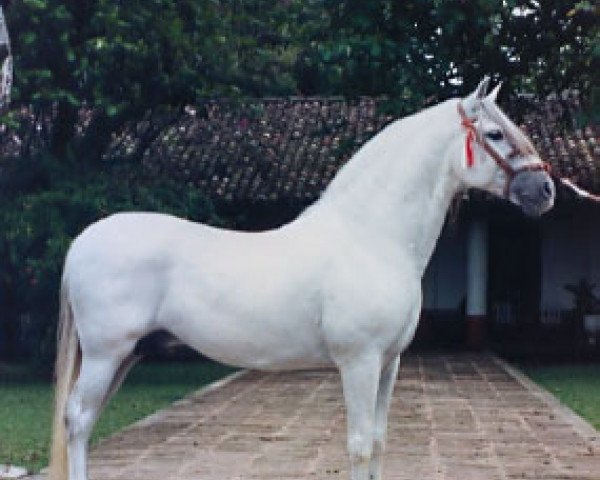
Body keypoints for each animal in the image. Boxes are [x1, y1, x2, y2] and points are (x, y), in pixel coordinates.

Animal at [49, 79, 556, 480]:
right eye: (495, 133)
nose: (545, 190)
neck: (371, 236)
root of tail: (80, 243)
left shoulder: (389, 363)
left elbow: (378, 440)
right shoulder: (359, 362)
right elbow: (358, 444)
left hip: (126, 355)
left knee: (84, 422)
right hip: (105, 354)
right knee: (78, 420)